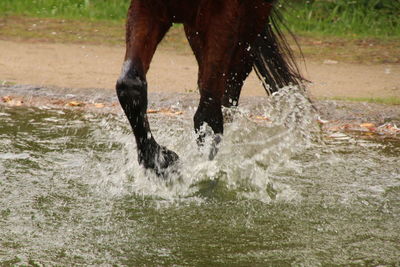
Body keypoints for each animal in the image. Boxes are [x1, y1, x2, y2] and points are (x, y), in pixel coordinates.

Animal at [115, 0, 304, 176]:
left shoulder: (222, 14)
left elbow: (207, 116)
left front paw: (203, 172)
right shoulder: (148, 7)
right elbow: (130, 86)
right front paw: (160, 161)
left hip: (248, 26)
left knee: (230, 86)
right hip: (196, 31)